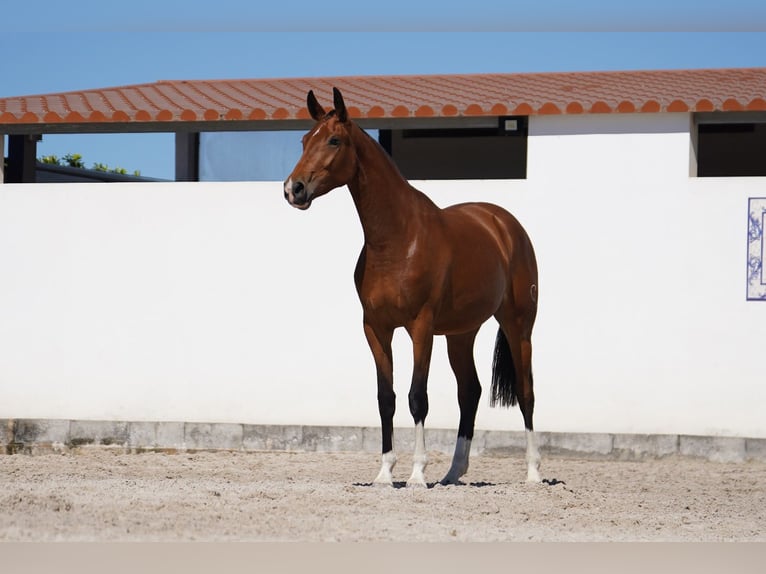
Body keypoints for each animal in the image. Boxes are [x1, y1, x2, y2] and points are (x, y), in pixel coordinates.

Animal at [282, 88, 540, 488]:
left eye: (334, 140)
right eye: (304, 140)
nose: (293, 189)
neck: (397, 239)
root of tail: (504, 224)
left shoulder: (421, 327)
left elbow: (417, 395)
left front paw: (418, 474)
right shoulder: (376, 328)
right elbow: (385, 397)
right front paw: (385, 473)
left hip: (518, 324)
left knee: (526, 392)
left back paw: (533, 472)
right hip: (461, 334)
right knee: (470, 391)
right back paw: (453, 473)